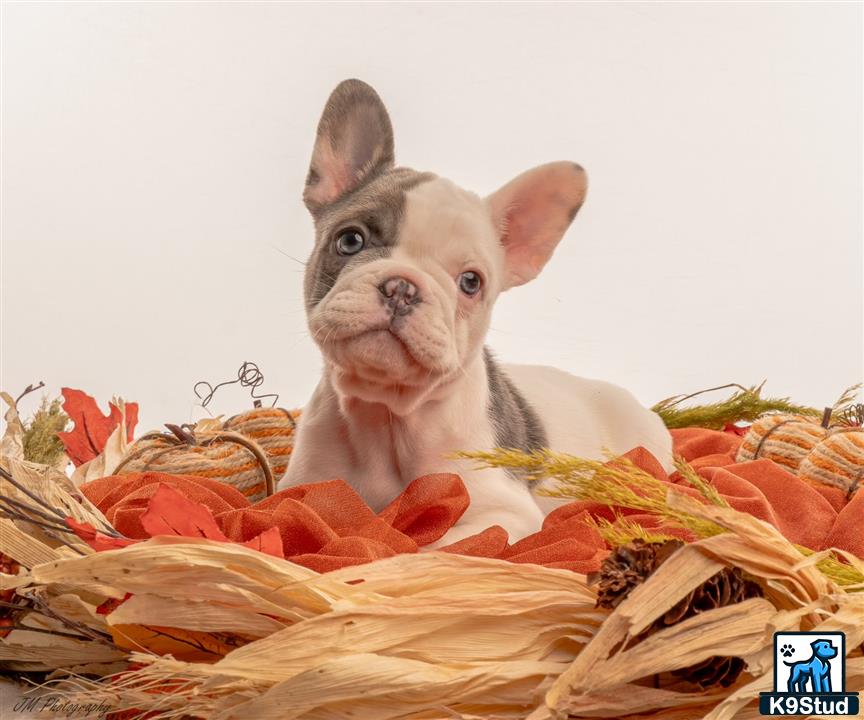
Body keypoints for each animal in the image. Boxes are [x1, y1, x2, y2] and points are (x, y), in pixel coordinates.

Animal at [280, 79, 672, 544]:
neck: (387, 414)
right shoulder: (300, 486)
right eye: (350, 240)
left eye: (471, 282)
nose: (402, 287)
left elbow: (437, 545)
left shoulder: (501, 509)